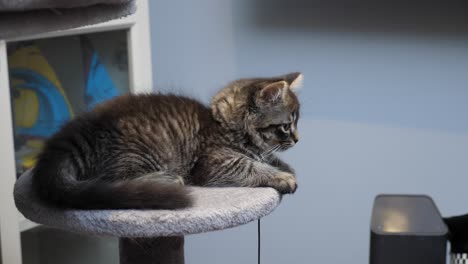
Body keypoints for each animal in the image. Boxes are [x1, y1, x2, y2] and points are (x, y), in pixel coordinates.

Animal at [33, 71, 304, 208]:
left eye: (296, 123)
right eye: (286, 126)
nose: (298, 139)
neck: (225, 126)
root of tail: (69, 135)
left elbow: (268, 158)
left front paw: (285, 168)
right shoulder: (214, 163)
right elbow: (250, 165)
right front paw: (282, 177)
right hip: (139, 151)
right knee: (111, 180)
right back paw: (167, 179)